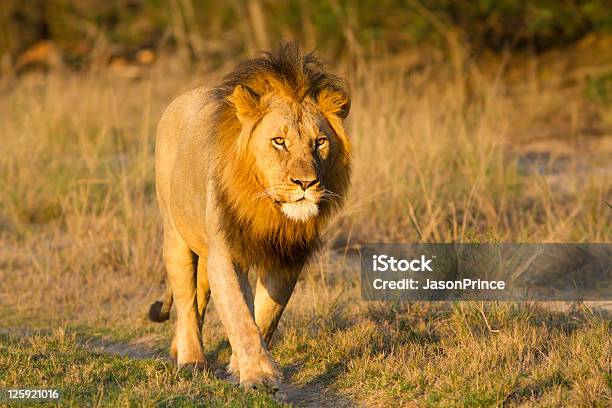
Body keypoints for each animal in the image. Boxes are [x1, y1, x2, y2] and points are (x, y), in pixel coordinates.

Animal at [147, 42, 350, 392]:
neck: (268, 209)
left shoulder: (287, 258)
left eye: (320, 142)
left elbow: (265, 315)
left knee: (199, 297)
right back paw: (191, 358)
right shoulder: (226, 254)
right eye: (279, 141)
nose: (306, 183)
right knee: (186, 301)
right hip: (175, 236)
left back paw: (178, 348)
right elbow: (240, 316)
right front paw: (258, 376)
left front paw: (238, 367)